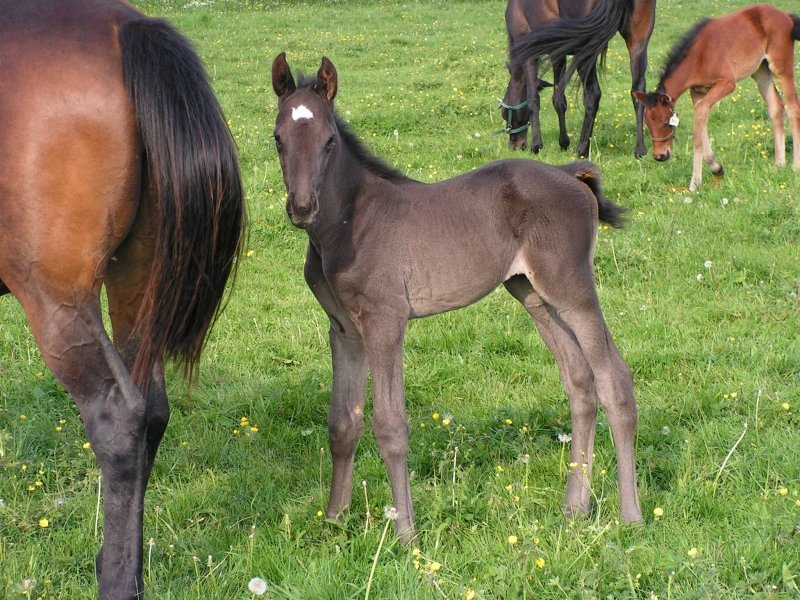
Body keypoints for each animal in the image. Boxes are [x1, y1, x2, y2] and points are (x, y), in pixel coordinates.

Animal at [0, 1, 245, 598]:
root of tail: (128, 29)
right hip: (136, 280)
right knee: (151, 409)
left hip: (58, 301)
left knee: (118, 417)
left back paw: (113, 579)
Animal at [271, 52, 643, 542]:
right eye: (277, 138)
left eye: (330, 141)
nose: (301, 207)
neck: (350, 222)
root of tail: (571, 174)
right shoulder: (344, 328)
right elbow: (342, 423)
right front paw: (334, 520)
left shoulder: (385, 321)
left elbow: (390, 425)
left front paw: (406, 533)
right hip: (532, 293)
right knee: (580, 382)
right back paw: (574, 509)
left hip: (572, 289)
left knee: (614, 379)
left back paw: (631, 515)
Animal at [507, 0, 656, 158]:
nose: (515, 145)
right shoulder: (558, 52)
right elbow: (559, 99)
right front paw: (563, 143)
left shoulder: (530, 52)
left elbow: (533, 100)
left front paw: (536, 146)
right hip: (637, 43)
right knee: (637, 91)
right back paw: (640, 149)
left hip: (584, 51)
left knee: (593, 94)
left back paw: (582, 149)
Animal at [633, 4, 800, 192]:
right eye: (648, 124)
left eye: (665, 122)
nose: (660, 156)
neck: (699, 55)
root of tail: (786, 15)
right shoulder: (697, 92)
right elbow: (701, 121)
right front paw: (716, 168)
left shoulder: (727, 83)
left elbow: (698, 129)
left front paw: (694, 183)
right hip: (761, 71)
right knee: (775, 107)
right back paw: (779, 164)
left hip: (781, 66)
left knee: (793, 108)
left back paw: (795, 166)